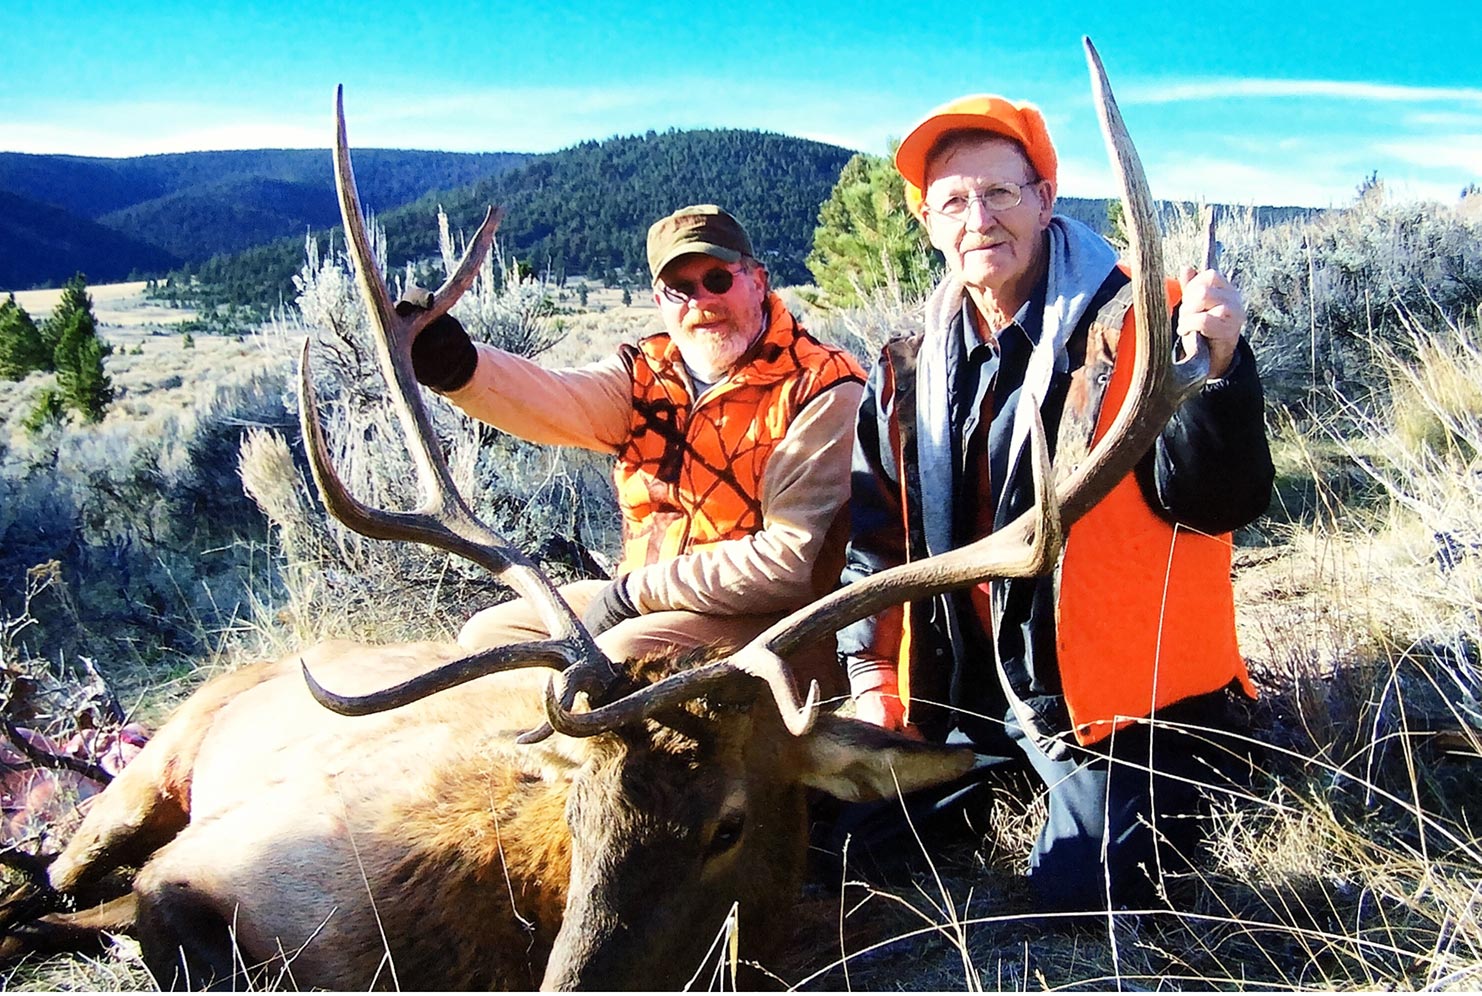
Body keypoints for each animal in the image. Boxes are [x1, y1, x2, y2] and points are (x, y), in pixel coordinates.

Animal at [0, 38, 1212, 991]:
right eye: (581, 815)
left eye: (729, 821)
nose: (572, 981)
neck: (467, 928)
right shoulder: (206, 874)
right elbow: (132, 928)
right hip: (150, 773)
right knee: (49, 878)